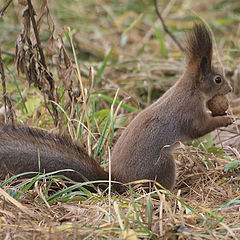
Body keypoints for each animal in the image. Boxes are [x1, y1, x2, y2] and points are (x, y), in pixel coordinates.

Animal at [0, 23, 233, 191]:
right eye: (218, 79)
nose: (230, 89)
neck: (191, 90)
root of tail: (116, 182)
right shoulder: (188, 111)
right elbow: (199, 128)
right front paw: (225, 119)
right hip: (163, 164)